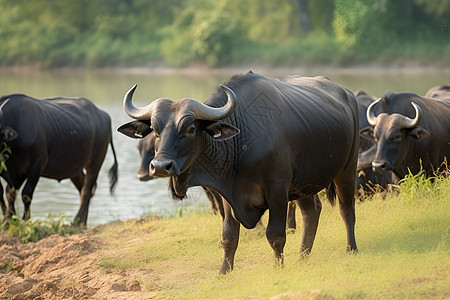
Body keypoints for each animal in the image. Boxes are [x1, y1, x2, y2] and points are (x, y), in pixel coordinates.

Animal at [0, 94, 118, 225]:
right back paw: (82, 222)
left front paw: (25, 220)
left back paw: (76, 221)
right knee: (85, 188)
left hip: (96, 161)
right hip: (74, 168)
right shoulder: (15, 172)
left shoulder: (36, 165)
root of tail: (104, 115)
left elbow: (26, 194)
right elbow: (9, 193)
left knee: (86, 190)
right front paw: (8, 220)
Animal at [118, 71, 360, 274]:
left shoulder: (278, 188)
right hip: (303, 184)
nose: (160, 166)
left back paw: (351, 249)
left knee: (346, 209)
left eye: (191, 128)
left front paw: (278, 267)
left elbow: (275, 234)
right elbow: (229, 236)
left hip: (347, 168)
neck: (241, 142)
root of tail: (348, 94)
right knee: (312, 211)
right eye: (155, 129)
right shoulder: (227, 192)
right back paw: (303, 257)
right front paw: (224, 272)